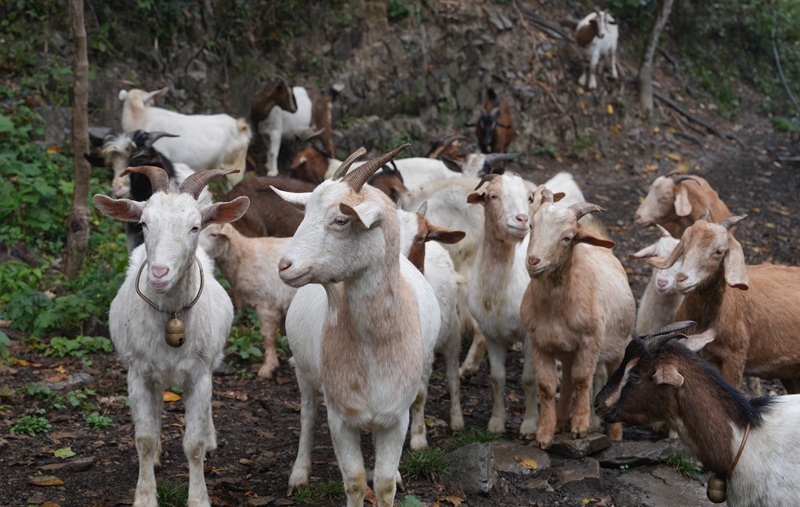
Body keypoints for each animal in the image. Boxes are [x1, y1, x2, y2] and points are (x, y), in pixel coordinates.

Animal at [94, 167, 250, 507]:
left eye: (195, 226)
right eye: (143, 223)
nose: (159, 273)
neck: (171, 314)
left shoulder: (199, 375)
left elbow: (193, 444)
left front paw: (199, 498)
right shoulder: (138, 373)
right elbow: (145, 437)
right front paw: (144, 496)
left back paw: (211, 437)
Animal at [274, 145, 438, 506]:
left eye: (341, 219)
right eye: (304, 214)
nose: (284, 265)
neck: (377, 346)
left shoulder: (397, 416)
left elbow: (385, 483)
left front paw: (393, 476)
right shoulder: (340, 417)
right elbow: (355, 481)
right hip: (304, 371)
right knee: (307, 415)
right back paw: (299, 473)